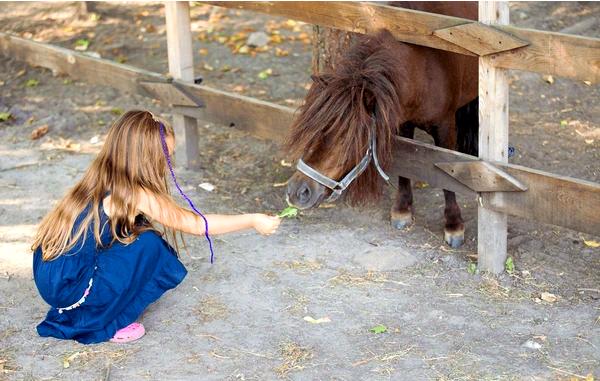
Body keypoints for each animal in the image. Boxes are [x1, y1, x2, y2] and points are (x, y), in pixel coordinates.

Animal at [286, 2, 478, 246]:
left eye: (346, 138)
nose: (297, 192)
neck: (425, 67)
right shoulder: (402, 122)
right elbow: (407, 165)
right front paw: (402, 210)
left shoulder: (444, 129)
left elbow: (446, 178)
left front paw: (453, 225)